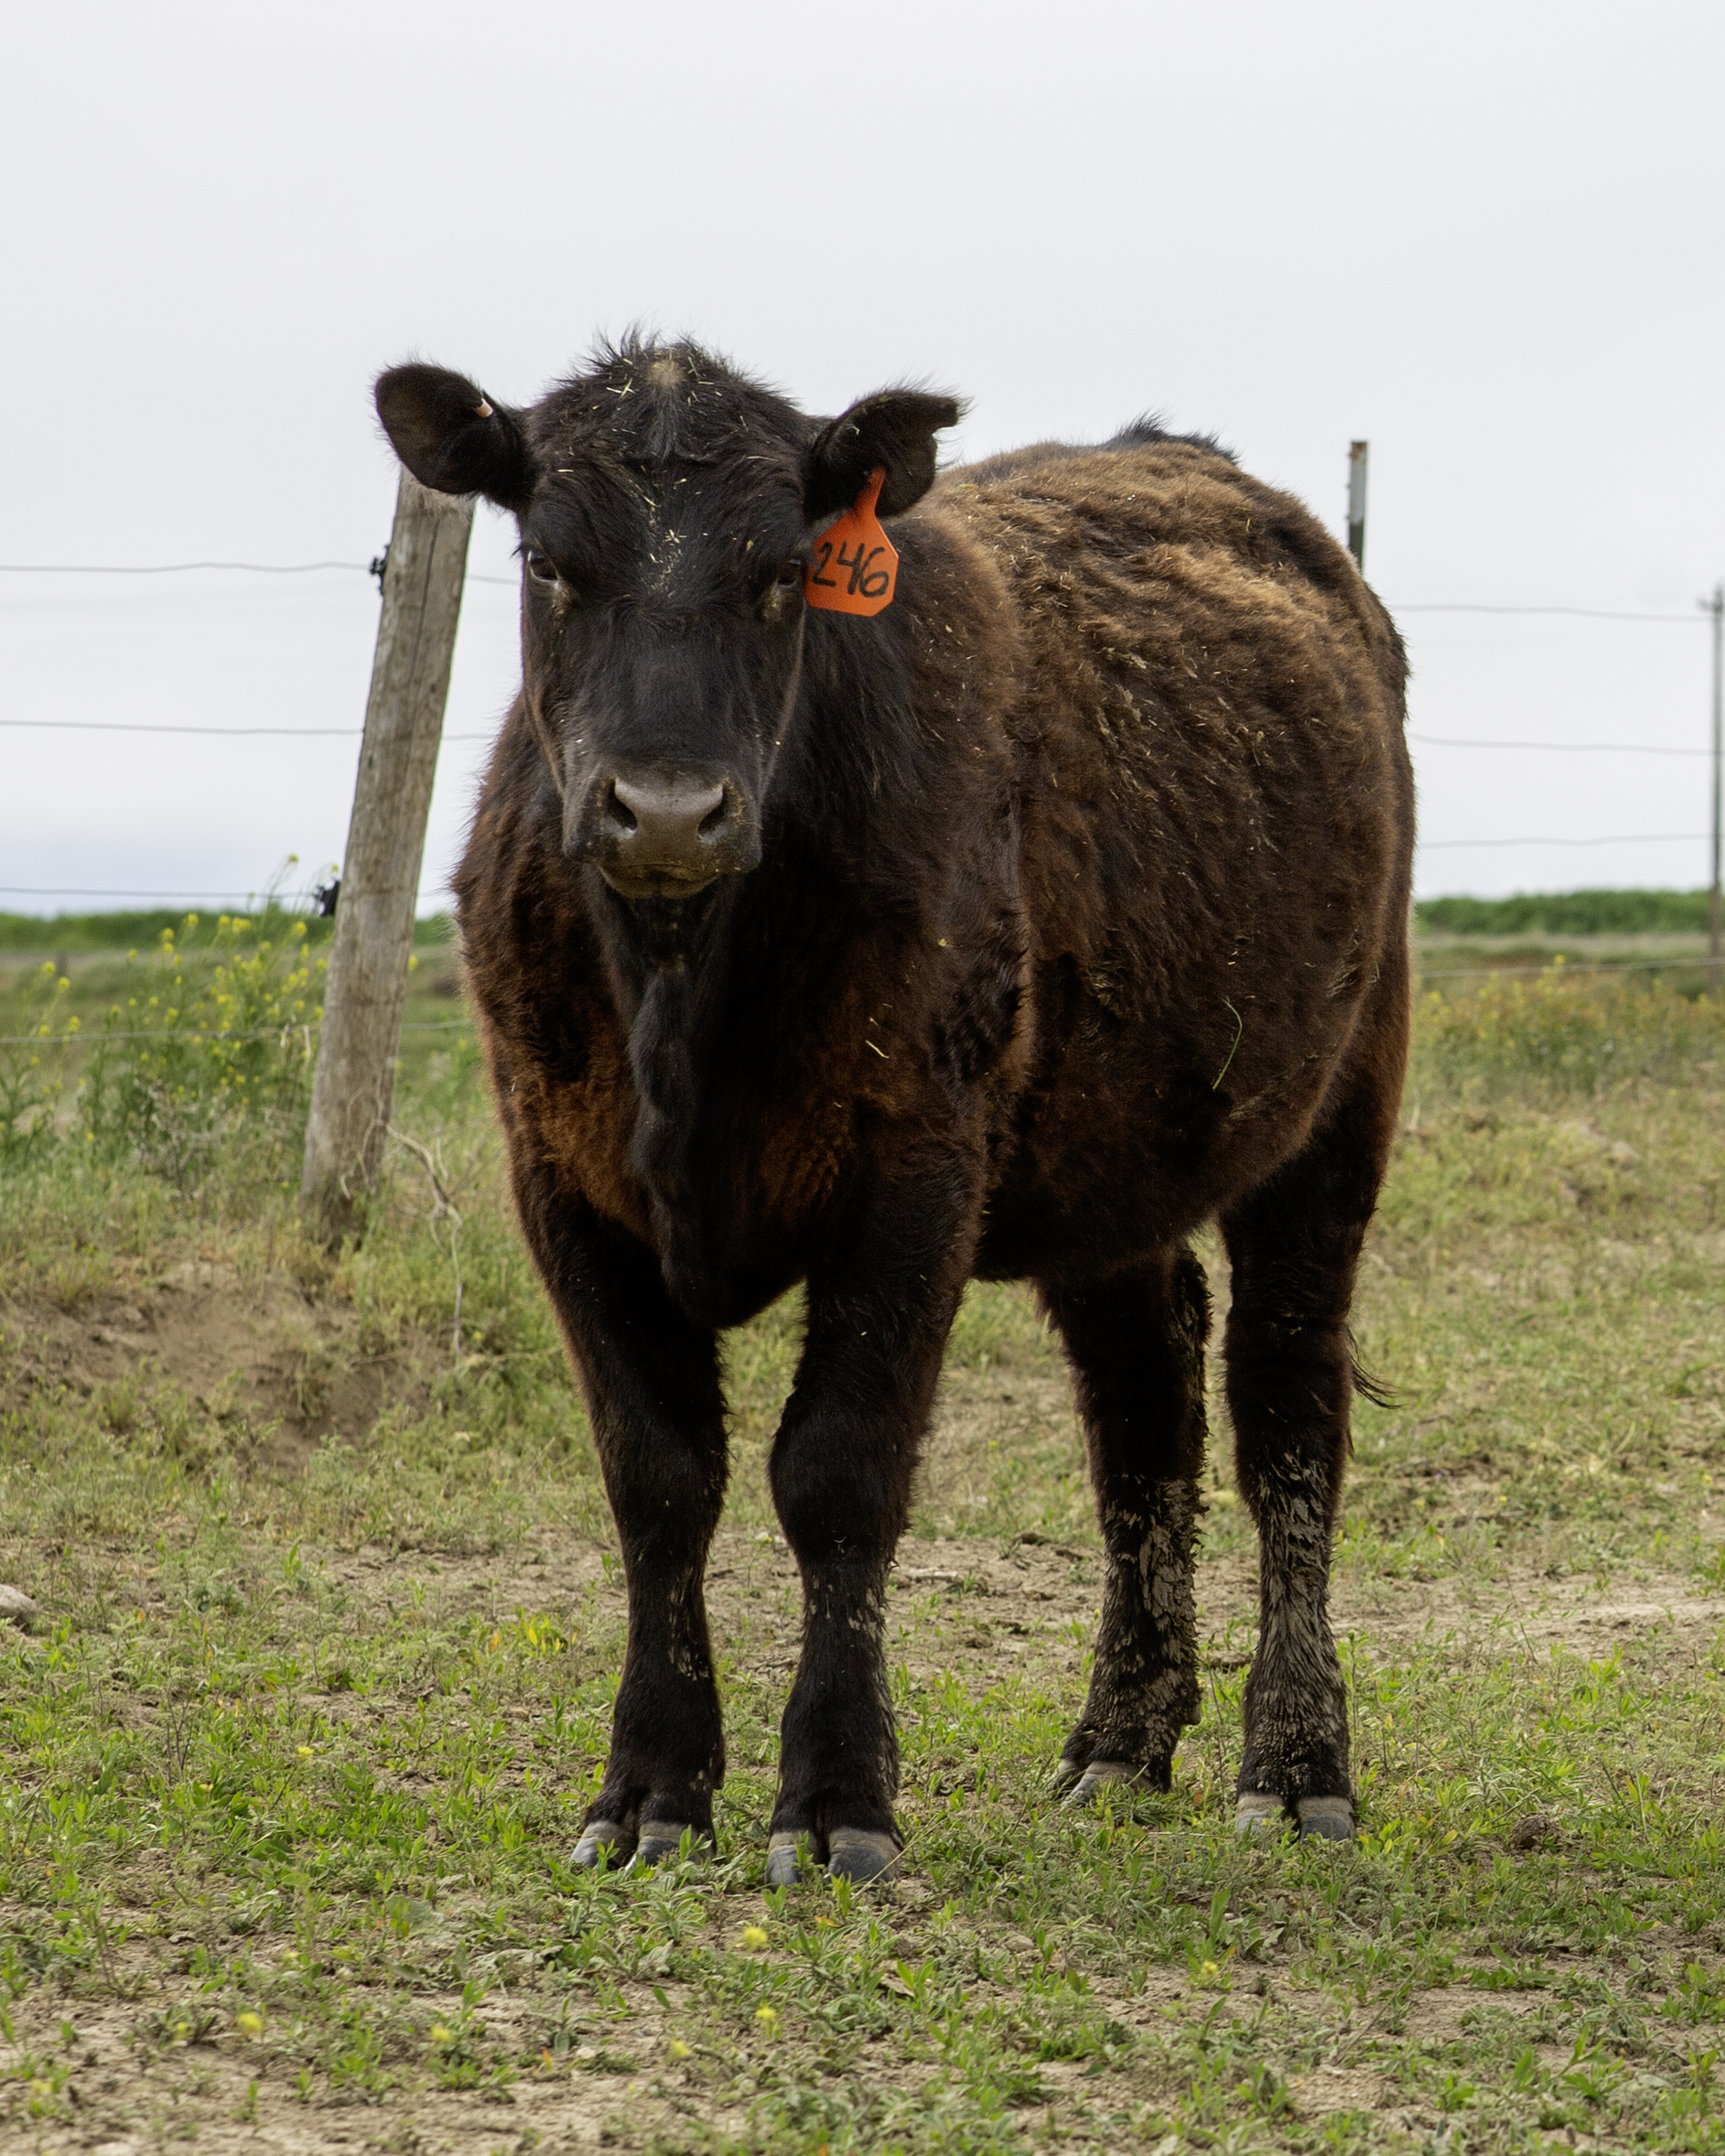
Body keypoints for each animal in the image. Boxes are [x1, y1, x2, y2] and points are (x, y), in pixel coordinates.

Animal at [375, 338, 1413, 1882]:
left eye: (786, 567)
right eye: (549, 561)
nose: (667, 810)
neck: (682, 983)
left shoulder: (912, 1170)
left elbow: (838, 1474)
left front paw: (836, 1799)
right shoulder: (559, 1178)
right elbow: (658, 1475)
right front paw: (649, 1790)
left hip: (1335, 1104)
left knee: (1283, 1406)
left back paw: (1292, 1766)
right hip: (1103, 1162)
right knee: (1142, 1407)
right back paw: (1120, 1741)